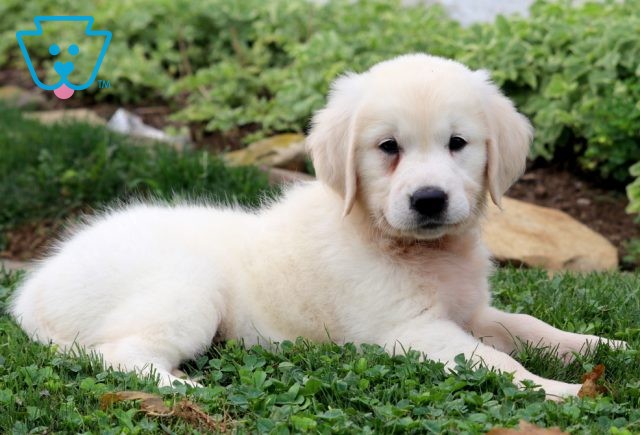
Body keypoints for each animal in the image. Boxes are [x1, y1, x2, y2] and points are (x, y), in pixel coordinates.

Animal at [10, 53, 624, 398]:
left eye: (458, 143)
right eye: (388, 148)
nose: (429, 200)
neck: (400, 242)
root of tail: (33, 290)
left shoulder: (469, 311)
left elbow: (528, 326)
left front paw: (604, 344)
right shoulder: (410, 331)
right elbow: (498, 361)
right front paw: (559, 389)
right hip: (184, 291)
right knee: (122, 355)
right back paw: (191, 388)